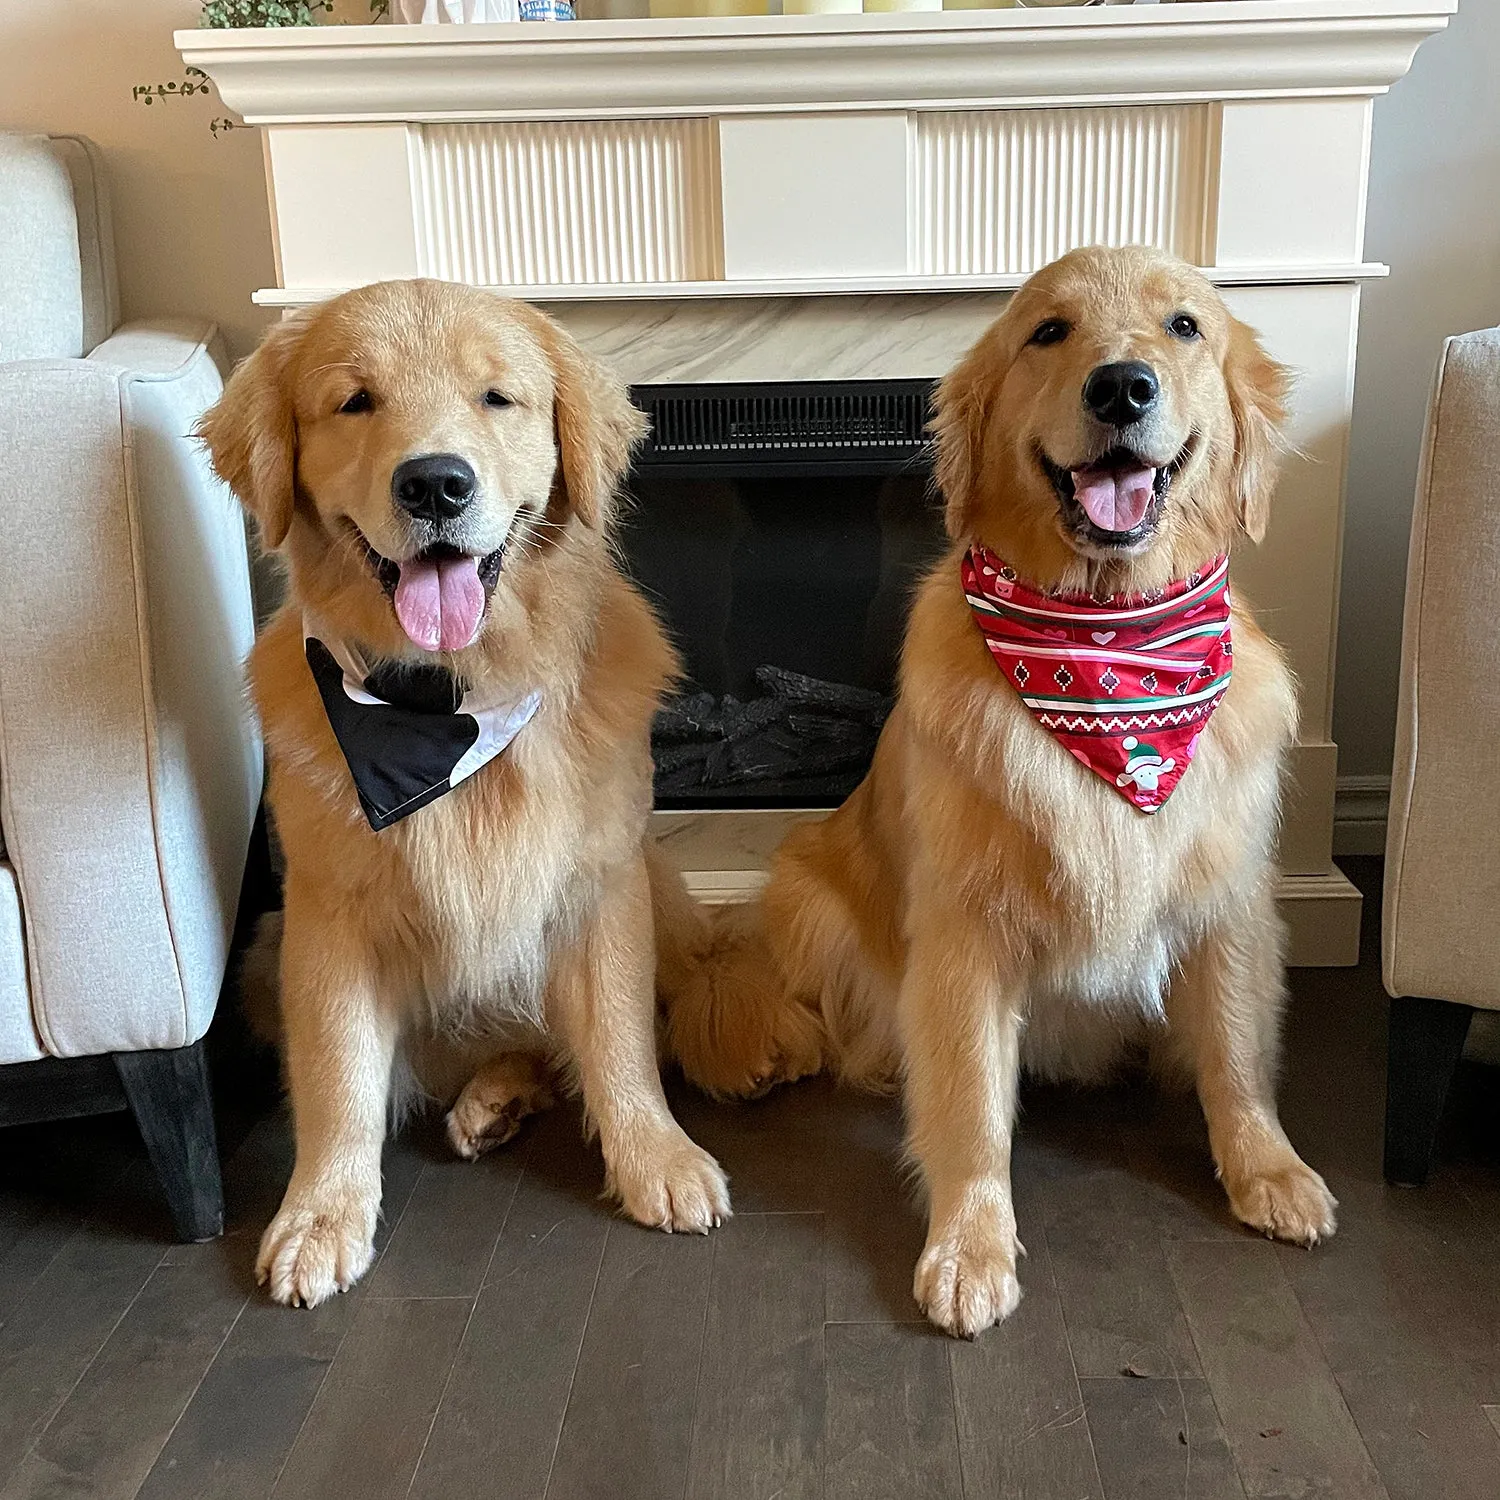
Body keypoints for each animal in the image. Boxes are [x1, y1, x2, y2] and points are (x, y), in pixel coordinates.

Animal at [202, 276, 729, 1308]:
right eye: (354, 401)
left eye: (497, 398)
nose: (436, 484)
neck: (451, 705)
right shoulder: (325, 918)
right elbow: (338, 1077)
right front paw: (320, 1214)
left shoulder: (604, 888)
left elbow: (619, 1038)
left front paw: (656, 1158)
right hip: (262, 954)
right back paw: (493, 1096)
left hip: (663, 883)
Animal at [666, 246, 1338, 1338]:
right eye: (1048, 332)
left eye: (1185, 326)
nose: (1122, 386)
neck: (1109, 650)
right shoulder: (964, 934)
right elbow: (973, 1104)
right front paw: (970, 1248)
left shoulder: (1229, 902)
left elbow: (1238, 1057)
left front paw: (1267, 1171)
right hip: (809, 890)